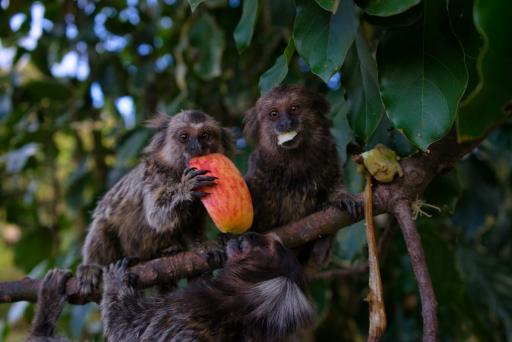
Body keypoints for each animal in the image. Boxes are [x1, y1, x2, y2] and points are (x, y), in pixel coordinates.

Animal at [78, 111, 234, 296]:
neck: (177, 172)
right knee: (102, 226)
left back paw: (170, 250)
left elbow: (192, 223)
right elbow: (157, 216)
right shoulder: (155, 176)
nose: (197, 147)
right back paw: (91, 267)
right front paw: (186, 188)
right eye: (184, 137)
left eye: (205, 135)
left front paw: (202, 245)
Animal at [243, 85, 360, 268]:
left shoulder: (329, 154)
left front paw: (342, 198)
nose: (285, 123)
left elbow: (335, 184)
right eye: (274, 114)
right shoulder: (258, 165)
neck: (294, 159)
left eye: (294, 109)